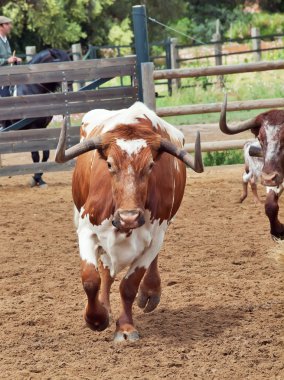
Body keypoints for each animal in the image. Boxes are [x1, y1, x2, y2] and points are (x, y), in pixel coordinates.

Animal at [55, 101, 203, 342]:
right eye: (109, 164)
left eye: (151, 165)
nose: (129, 217)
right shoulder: (87, 229)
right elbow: (91, 278)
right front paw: (96, 319)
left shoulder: (155, 238)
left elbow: (129, 286)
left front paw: (125, 327)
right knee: (105, 271)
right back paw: (104, 306)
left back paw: (150, 293)